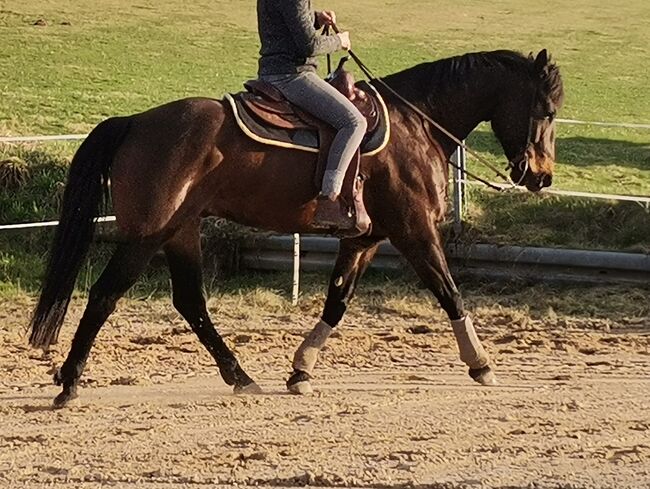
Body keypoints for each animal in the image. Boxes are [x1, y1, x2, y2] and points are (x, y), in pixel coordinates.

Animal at [27, 48, 560, 408]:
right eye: (547, 110)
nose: (541, 176)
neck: (417, 124)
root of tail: (136, 121)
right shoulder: (414, 231)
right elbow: (450, 293)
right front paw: (481, 364)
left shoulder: (364, 239)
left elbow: (337, 303)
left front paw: (301, 370)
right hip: (148, 235)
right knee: (104, 295)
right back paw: (70, 382)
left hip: (181, 230)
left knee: (191, 302)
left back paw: (240, 376)